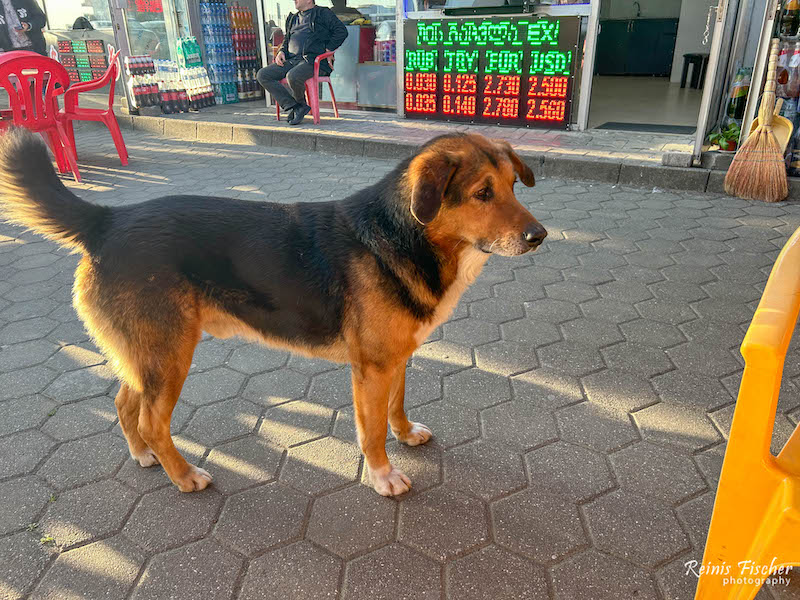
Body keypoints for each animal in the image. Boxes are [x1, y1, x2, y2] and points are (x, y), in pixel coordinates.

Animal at [0, 130, 544, 496]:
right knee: (153, 420)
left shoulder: (397, 358)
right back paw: (184, 474)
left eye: (514, 186)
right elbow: (371, 431)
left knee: (124, 404)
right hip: (169, 356)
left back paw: (142, 455)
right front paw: (383, 475)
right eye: (482, 193)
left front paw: (406, 434)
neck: (403, 235)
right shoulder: (371, 368)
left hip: (147, 355)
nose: (540, 236)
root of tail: (107, 219)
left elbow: (396, 406)